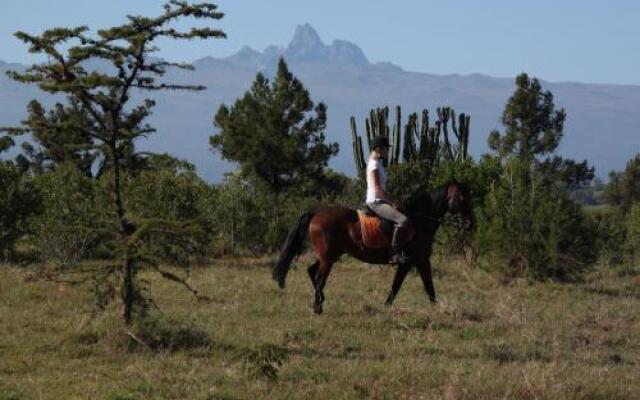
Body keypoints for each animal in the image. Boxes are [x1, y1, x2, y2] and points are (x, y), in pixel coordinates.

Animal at [272, 180, 472, 314]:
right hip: (328, 258)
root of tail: (316, 214)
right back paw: (318, 307)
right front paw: (437, 310)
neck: (419, 221)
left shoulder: (407, 263)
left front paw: (386, 307)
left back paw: (320, 300)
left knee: (312, 271)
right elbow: (429, 286)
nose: (469, 224)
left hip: (328, 255)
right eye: (462, 197)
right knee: (320, 278)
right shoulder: (421, 261)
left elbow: (396, 286)